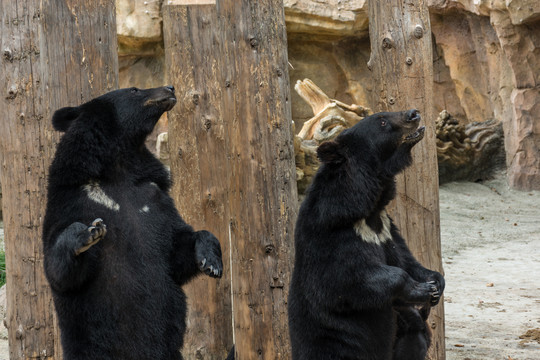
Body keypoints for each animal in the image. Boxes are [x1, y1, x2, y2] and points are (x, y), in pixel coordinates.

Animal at [41, 86, 224, 360]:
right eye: (134, 90)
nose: (170, 88)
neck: (120, 165)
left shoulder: (154, 197)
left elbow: (176, 248)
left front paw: (211, 263)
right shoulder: (71, 199)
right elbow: (59, 269)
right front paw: (88, 233)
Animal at [288, 109, 446, 360]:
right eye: (381, 121)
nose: (413, 114)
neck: (368, 208)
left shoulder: (386, 228)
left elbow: (405, 258)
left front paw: (435, 283)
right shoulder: (333, 233)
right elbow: (350, 279)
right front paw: (422, 289)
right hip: (337, 344)